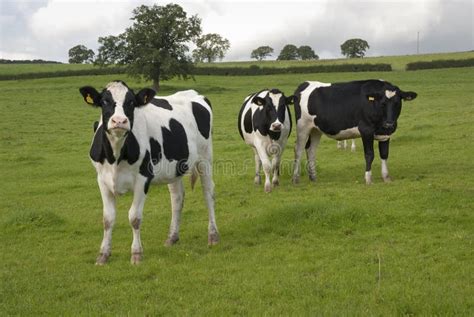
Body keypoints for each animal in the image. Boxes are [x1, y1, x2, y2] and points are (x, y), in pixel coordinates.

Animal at [79, 80, 218, 262]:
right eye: (104, 101)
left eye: (131, 102)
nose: (119, 121)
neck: (115, 155)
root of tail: (194, 94)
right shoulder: (102, 179)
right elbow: (108, 219)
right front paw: (103, 255)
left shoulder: (143, 178)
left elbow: (134, 217)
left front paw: (136, 254)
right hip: (173, 168)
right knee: (177, 198)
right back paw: (172, 237)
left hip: (205, 158)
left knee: (208, 193)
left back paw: (213, 235)